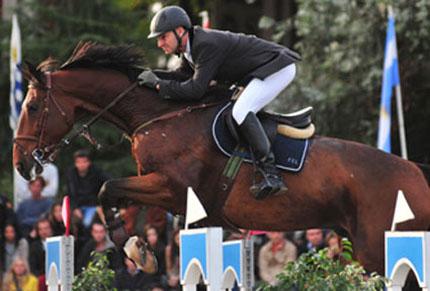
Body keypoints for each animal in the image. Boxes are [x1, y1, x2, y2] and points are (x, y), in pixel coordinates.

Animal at [11, 41, 430, 276]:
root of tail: (415, 172)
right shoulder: (164, 193)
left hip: (377, 248)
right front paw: (138, 248)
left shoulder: (173, 189)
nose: (21, 164)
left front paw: (135, 250)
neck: (160, 117)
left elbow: (105, 188)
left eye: (31, 106)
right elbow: (115, 198)